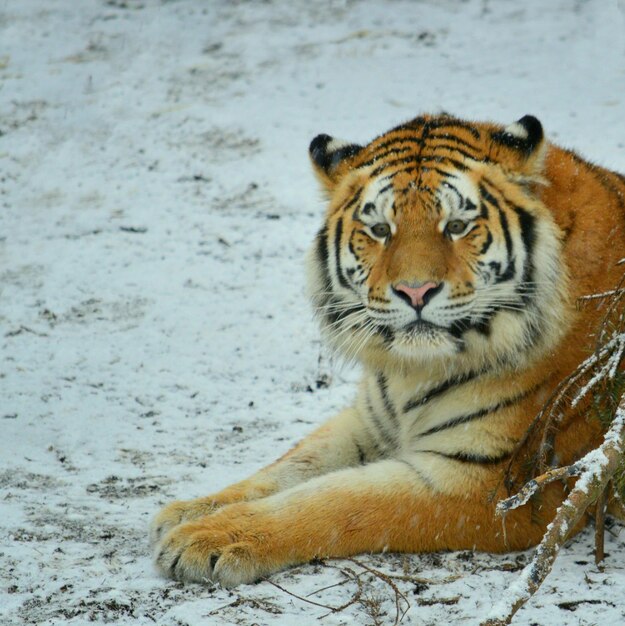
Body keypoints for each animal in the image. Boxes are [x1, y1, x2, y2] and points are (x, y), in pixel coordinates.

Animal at [149, 111, 624, 584]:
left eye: (456, 226)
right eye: (379, 230)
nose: (416, 291)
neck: (409, 372)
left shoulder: (491, 483)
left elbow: (339, 497)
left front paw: (208, 538)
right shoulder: (369, 420)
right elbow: (289, 466)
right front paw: (189, 510)